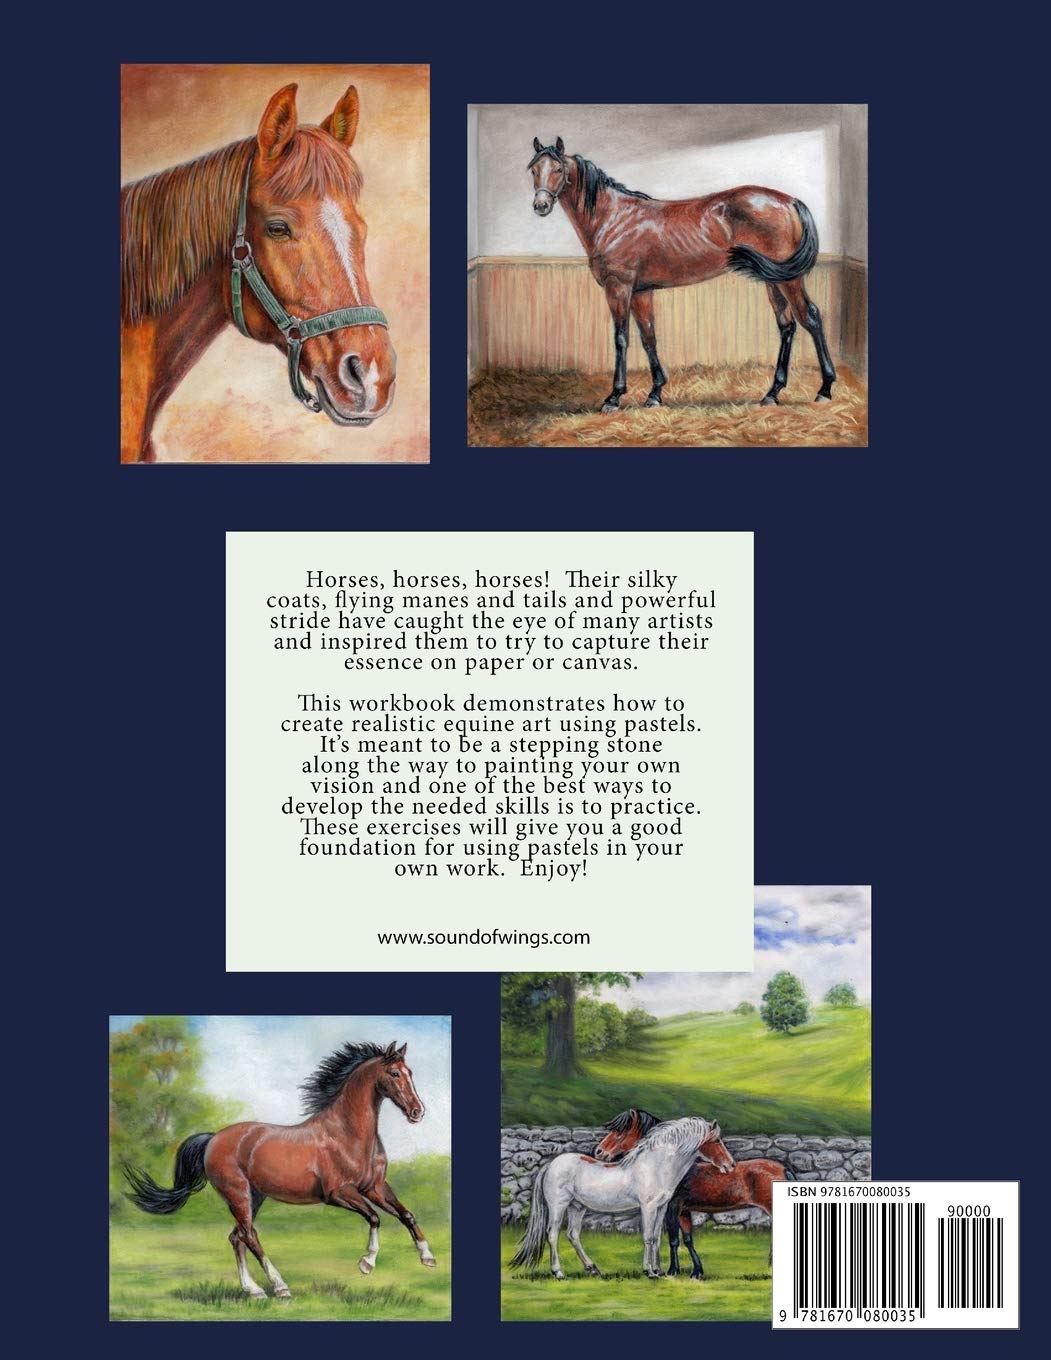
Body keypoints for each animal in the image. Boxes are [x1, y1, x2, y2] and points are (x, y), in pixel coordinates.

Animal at [122, 1040, 435, 1298]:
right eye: (394, 1074)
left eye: (410, 1072)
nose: (417, 1112)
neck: (348, 1134)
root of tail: (213, 1139)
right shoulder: (338, 1193)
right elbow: (374, 1217)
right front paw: (366, 1263)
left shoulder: (375, 1187)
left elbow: (406, 1214)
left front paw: (428, 1257)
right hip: (237, 1194)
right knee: (249, 1236)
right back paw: (280, 1287)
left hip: (255, 1196)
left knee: (237, 1237)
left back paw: (254, 1291)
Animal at [510, 1116, 733, 1280]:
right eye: (716, 1141)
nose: (730, 1165)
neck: (655, 1166)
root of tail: (551, 1164)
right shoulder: (648, 1207)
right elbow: (648, 1237)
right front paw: (649, 1272)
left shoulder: (661, 1208)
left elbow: (657, 1238)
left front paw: (659, 1270)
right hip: (559, 1205)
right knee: (553, 1234)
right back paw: (558, 1273)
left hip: (577, 1207)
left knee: (572, 1234)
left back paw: (593, 1268)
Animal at [527, 137, 837, 413]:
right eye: (533, 169)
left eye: (558, 169)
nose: (540, 206)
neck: (613, 218)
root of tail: (790, 201)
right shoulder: (641, 291)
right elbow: (648, 337)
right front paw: (655, 394)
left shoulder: (619, 288)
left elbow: (621, 338)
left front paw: (614, 397)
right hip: (773, 280)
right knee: (787, 325)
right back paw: (772, 393)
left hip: (789, 279)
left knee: (810, 317)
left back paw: (824, 389)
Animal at [595, 1107, 791, 1278]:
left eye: (621, 1131)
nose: (599, 1151)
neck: (671, 1166)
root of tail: (784, 1168)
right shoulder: (683, 1211)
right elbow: (687, 1239)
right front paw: (696, 1271)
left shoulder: (672, 1208)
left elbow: (673, 1240)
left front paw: (672, 1271)